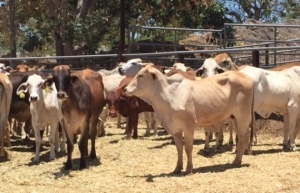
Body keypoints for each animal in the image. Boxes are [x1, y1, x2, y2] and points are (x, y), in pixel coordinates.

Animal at [123, 63, 254, 175]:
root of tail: (246, 77)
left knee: (243, 136)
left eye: (141, 75)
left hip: (243, 115)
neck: (168, 95)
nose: (125, 89)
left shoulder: (189, 126)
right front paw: (177, 168)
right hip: (235, 117)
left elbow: (188, 148)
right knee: (243, 136)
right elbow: (179, 148)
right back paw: (239, 159)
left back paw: (236, 161)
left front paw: (189, 169)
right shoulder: (175, 129)